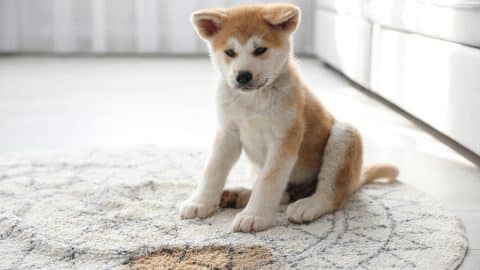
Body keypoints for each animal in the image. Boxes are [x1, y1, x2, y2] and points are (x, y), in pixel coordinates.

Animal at [180, 3, 398, 232]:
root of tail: (356, 178)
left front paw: (254, 215)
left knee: (331, 195)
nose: (243, 76)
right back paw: (237, 195)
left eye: (260, 50)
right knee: (283, 193)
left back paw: (307, 205)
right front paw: (200, 202)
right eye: (230, 52)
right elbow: (212, 169)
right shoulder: (228, 133)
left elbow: (269, 180)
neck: (253, 100)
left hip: (344, 135)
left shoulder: (284, 138)